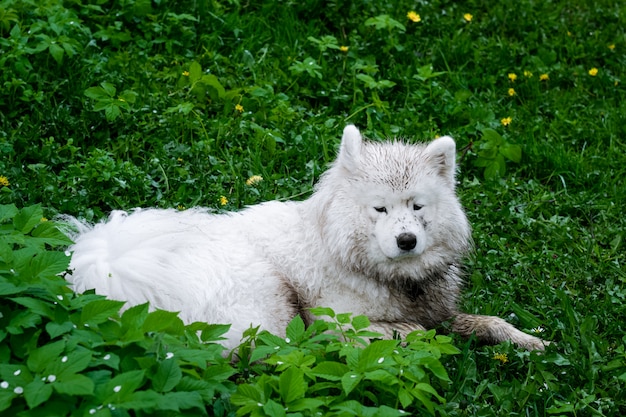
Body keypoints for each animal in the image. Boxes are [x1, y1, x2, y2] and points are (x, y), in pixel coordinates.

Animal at [64, 125, 544, 350]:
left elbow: (488, 322)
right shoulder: (341, 321)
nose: (407, 241)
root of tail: (112, 267)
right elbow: (407, 332)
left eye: (417, 206)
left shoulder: (441, 311)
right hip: (271, 302)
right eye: (380, 208)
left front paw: (528, 340)